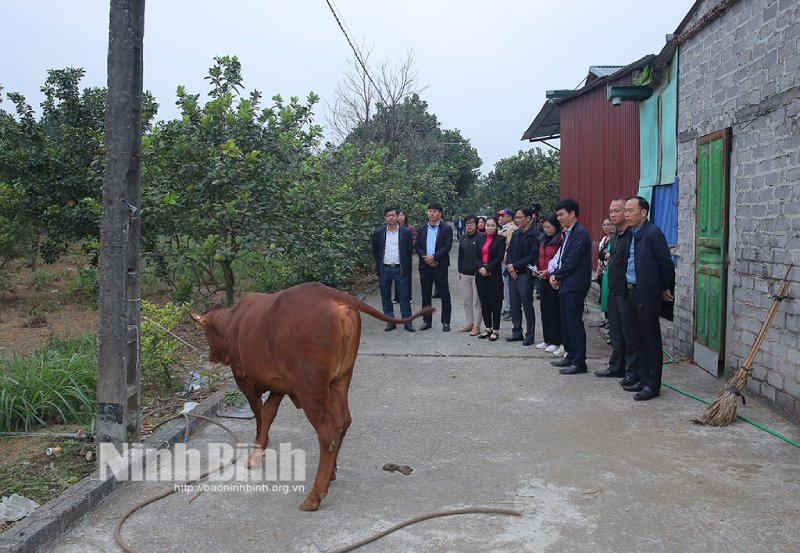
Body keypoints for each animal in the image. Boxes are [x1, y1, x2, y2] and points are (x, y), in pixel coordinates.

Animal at [191, 282, 434, 512]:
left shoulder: (244, 379)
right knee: (343, 421)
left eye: (206, 333)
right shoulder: (279, 386)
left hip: (309, 389)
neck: (235, 321)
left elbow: (259, 413)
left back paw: (315, 495)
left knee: (328, 432)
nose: (211, 356)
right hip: (340, 379)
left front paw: (258, 450)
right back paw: (331, 473)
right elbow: (268, 413)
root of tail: (329, 294)